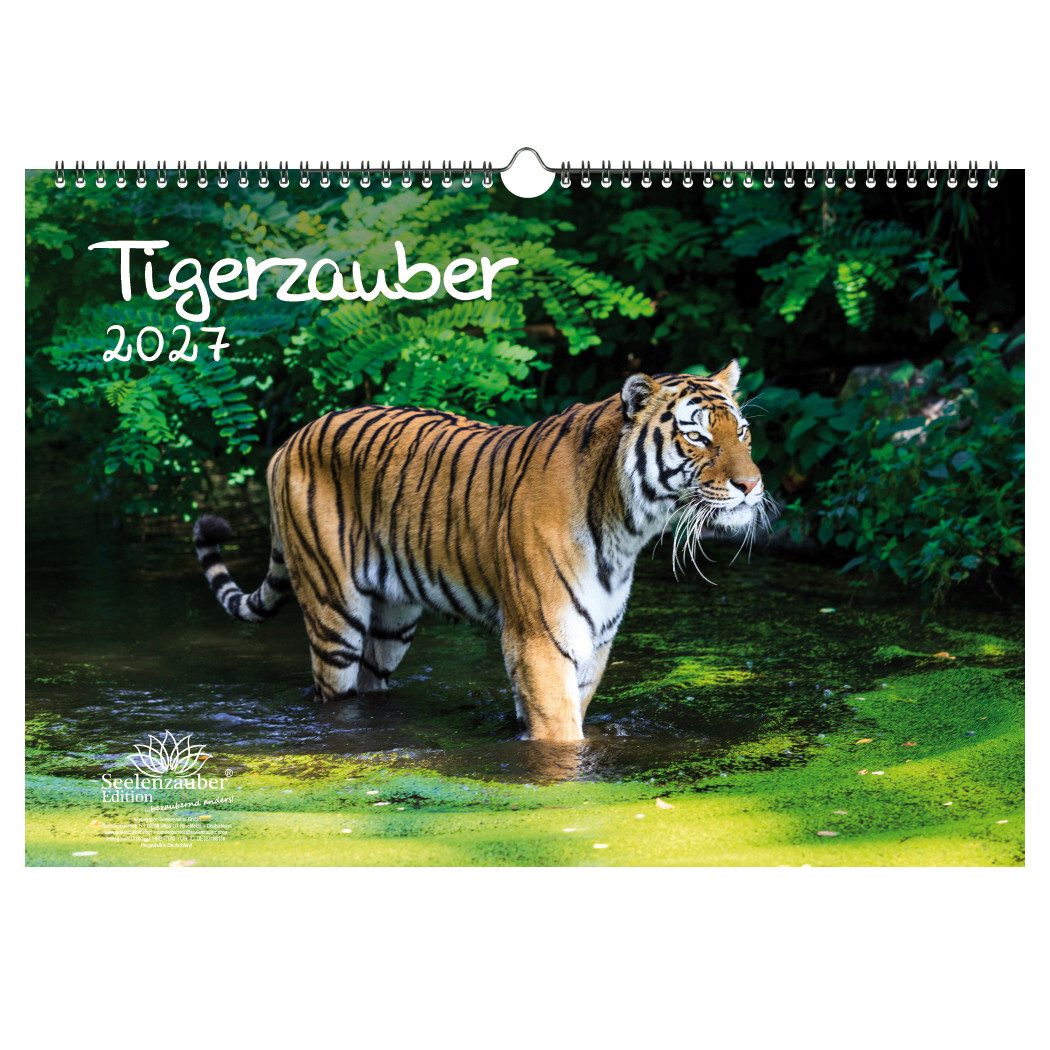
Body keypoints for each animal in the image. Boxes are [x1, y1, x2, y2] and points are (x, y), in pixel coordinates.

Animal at [193, 360, 770, 742]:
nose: (751, 485)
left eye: (742, 431)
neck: (627, 525)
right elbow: (562, 734)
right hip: (335, 615)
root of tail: (289, 440)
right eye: (697, 437)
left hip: (392, 621)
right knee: (331, 692)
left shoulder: (594, 642)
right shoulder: (540, 640)